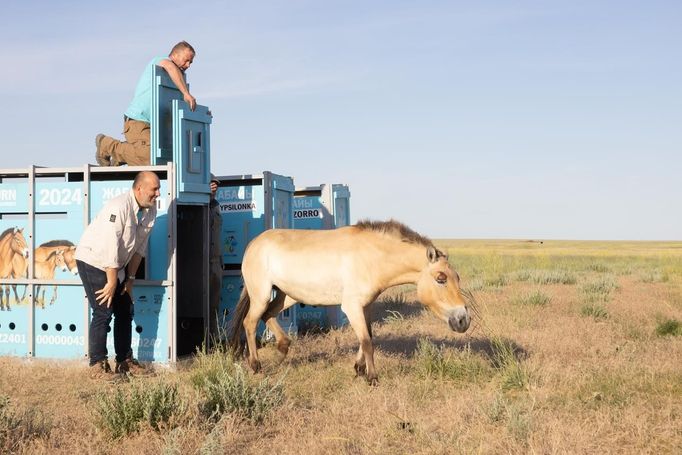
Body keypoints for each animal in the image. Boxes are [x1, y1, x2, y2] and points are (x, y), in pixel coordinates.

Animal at [228, 220, 468, 384]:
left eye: (457, 277)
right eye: (441, 278)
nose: (463, 320)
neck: (370, 256)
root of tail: (253, 244)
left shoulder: (366, 306)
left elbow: (368, 336)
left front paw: (359, 368)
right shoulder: (352, 307)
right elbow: (367, 341)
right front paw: (372, 377)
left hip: (287, 295)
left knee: (268, 314)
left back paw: (283, 349)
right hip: (261, 294)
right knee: (250, 322)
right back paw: (256, 365)